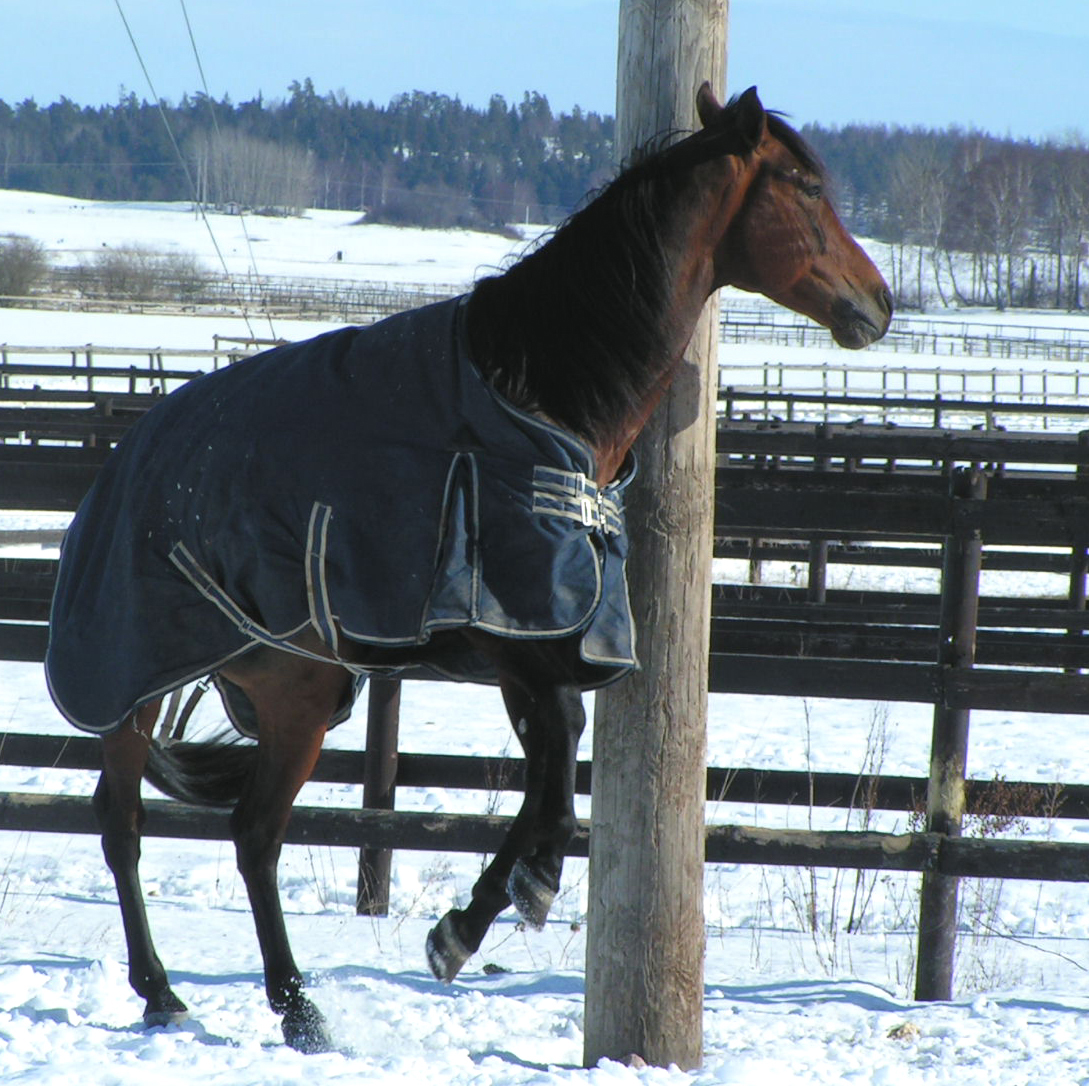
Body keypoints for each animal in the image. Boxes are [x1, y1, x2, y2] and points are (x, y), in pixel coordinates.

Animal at [44, 84, 892, 1050]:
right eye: (804, 185)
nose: (877, 301)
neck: (536, 397)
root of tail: (124, 462)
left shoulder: (525, 648)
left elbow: (551, 768)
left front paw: (475, 916)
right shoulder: (519, 630)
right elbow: (558, 773)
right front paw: (506, 901)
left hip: (262, 686)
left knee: (191, 828)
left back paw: (228, 998)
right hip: (170, 686)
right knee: (178, 829)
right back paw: (239, 1000)